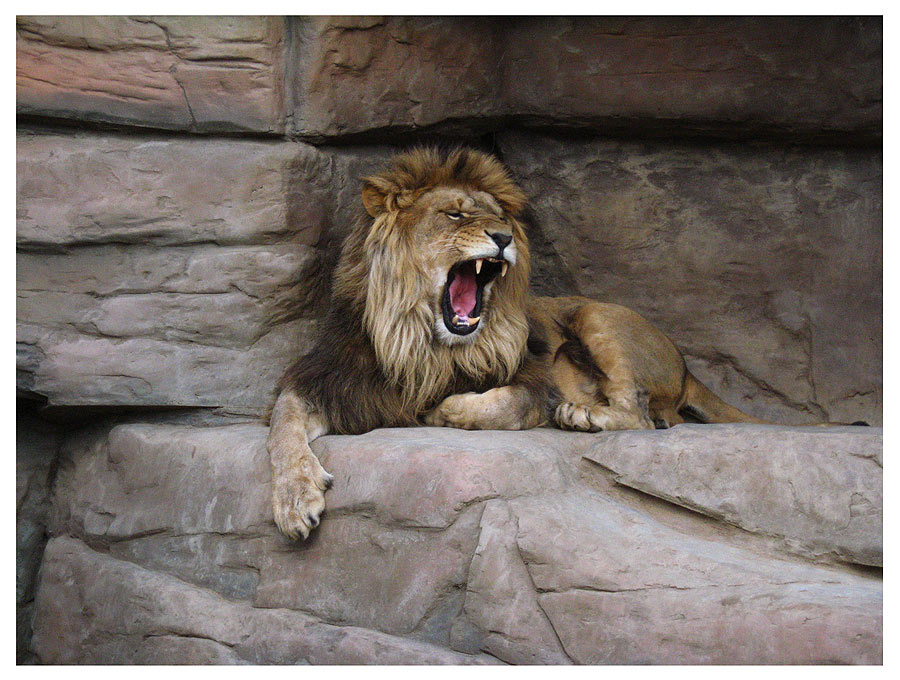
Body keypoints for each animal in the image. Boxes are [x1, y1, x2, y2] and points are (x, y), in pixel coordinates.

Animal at [267, 147, 788, 540]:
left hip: (597, 316)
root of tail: (686, 367)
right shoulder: (330, 380)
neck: (422, 343)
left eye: (500, 218)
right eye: (454, 213)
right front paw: (295, 500)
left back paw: (582, 416)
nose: (503, 236)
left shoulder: (534, 380)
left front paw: (440, 411)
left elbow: (498, 405)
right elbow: (282, 426)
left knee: (640, 416)